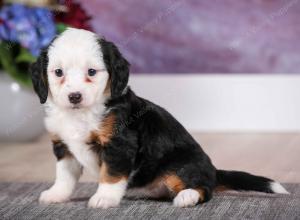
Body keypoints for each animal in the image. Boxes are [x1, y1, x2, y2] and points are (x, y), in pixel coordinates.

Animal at [29, 28, 288, 209]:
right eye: (58, 72)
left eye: (91, 72)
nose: (74, 96)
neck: (80, 114)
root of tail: (213, 170)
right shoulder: (64, 147)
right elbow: (64, 176)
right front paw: (56, 194)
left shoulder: (119, 143)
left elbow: (111, 175)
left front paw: (104, 198)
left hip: (180, 165)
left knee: (204, 189)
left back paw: (187, 197)